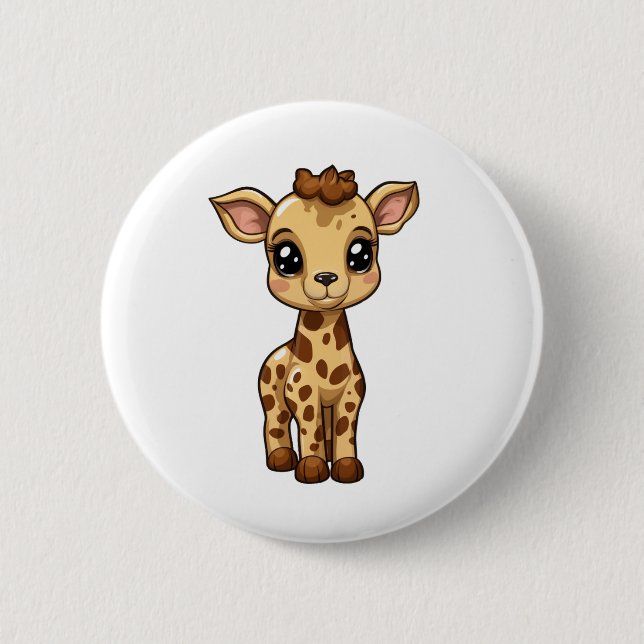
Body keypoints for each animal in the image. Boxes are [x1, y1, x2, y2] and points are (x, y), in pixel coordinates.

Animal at [210, 166, 419, 483]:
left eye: (360, 255)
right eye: (286, 258)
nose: (326, 278)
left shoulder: (352, 393)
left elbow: (346, 428)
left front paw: (346, 467)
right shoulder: (301, 393)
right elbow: (310, 427)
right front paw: (311, 468)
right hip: (269, 392)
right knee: (276, 421)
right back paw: (281, 459)